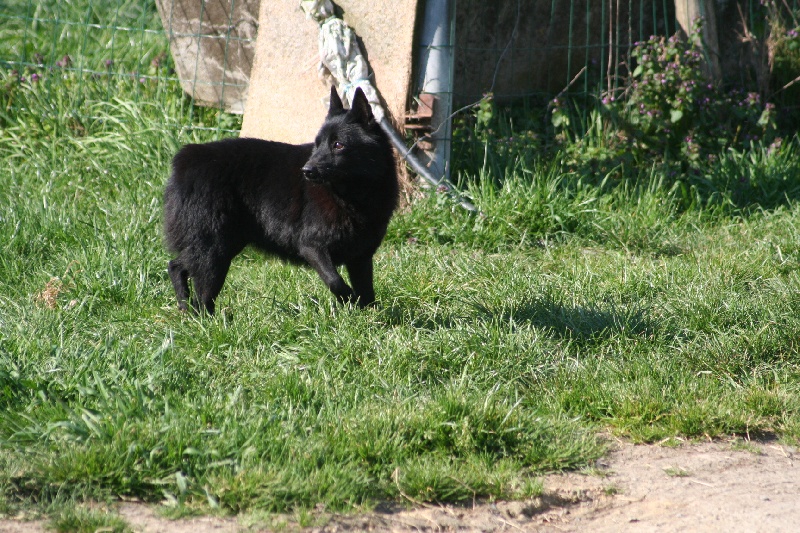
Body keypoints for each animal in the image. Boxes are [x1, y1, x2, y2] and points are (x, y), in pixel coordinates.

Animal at [163, 86, 400, 312]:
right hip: (214, 251)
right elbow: (335, 281)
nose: (306, 170)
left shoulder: (361, 257)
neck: (352, 194)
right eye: (317, 144)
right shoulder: (311, 246)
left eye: (338, 145)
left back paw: (184, 308)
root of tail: (185, 159)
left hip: (221, 245)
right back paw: (206, 319)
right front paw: (350, 301)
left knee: (176, 265)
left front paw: (371, 316)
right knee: (202, 296)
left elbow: (367, 292)